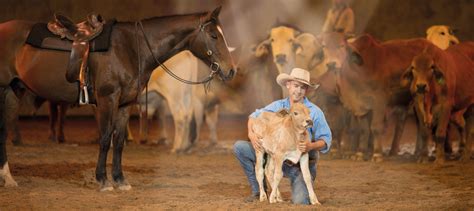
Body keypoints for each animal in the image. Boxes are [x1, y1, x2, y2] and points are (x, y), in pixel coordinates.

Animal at [0, 7, 236, 190]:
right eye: (214, 35)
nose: (231, 70)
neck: (131, 47)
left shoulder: (125, 104)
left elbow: (119, 140)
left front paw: (120, 180)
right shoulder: (107, 100)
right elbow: (105, 138)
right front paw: (103, 181)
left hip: (13, 92)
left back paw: (8, 179)